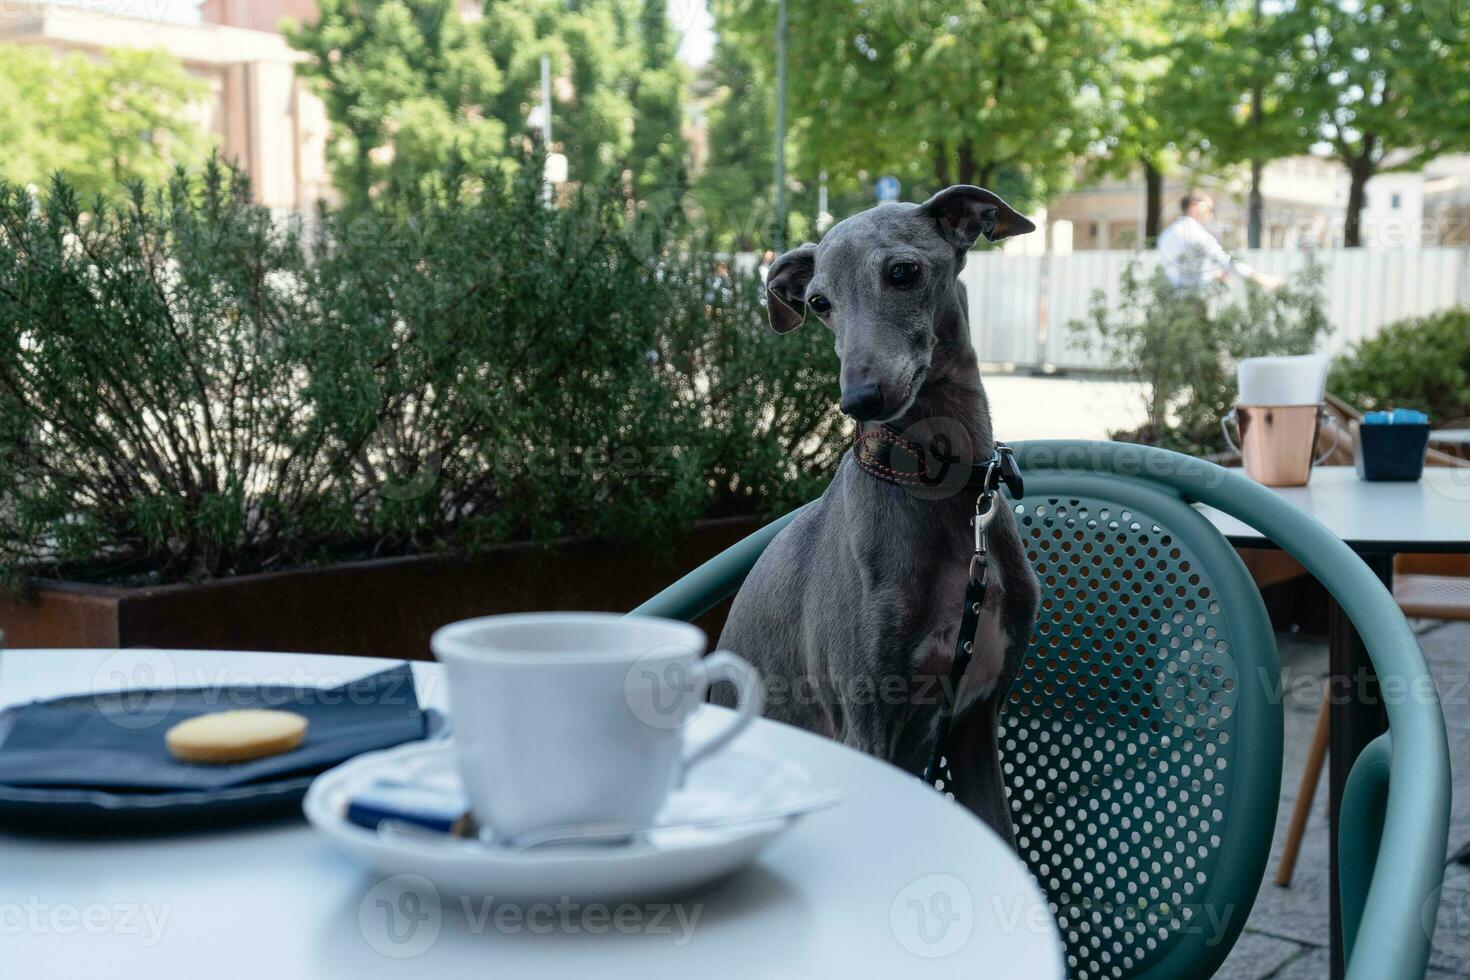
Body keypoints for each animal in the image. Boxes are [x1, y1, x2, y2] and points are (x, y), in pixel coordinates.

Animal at [714, 183, 1040, 846]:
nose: (859, 399)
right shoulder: (867, 724)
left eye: (903, 272)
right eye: (818, 302)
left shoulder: (974, 720)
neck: (944, 488)